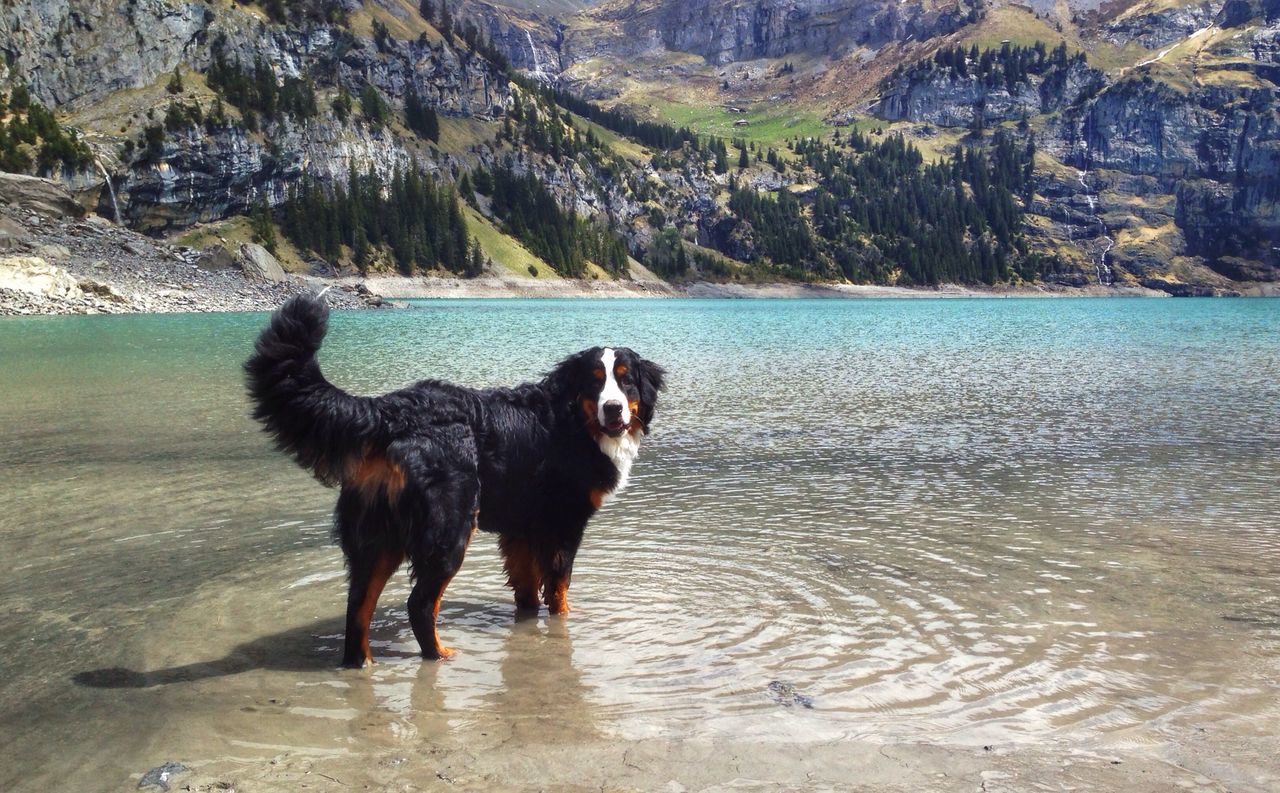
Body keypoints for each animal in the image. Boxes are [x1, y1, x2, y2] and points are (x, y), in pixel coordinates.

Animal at [248, 294, 670, 665]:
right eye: (595, 382)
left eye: (626, 381)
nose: (613, 409)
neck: (573, 421)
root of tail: (390, 409)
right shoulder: (563, 525)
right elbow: (559, 588)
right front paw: (566, 622)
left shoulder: (521, 530)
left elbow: (527, 592)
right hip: (449, 528)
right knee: (418, 603)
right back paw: (439, 654)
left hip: (376, 537)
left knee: (358, 606)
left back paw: (361, 663)